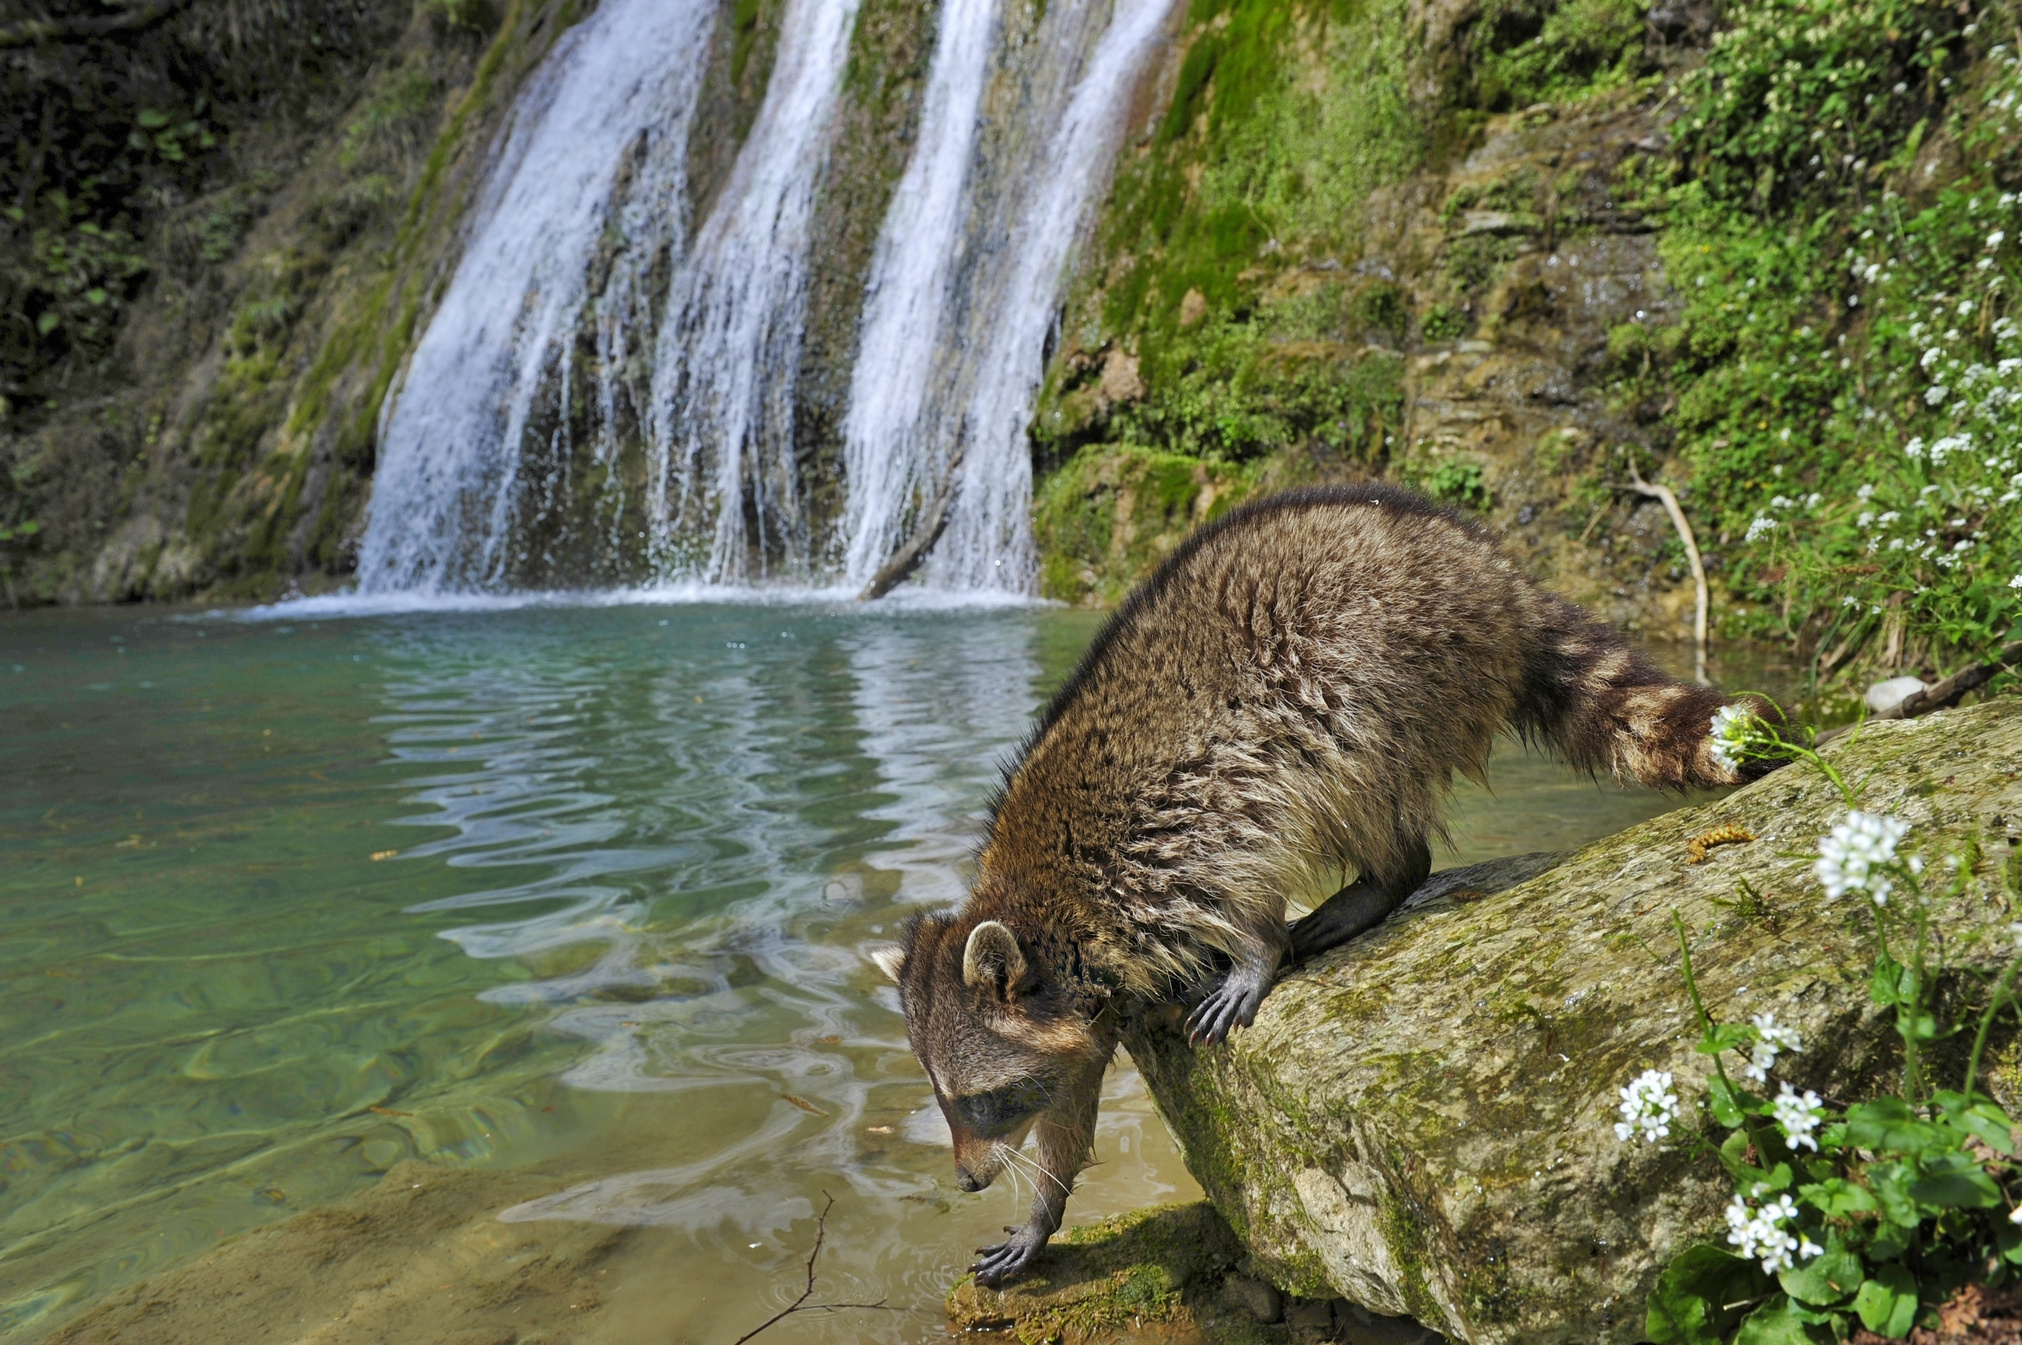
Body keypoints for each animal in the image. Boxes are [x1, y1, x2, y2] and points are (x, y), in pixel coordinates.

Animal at [865, 483, 1771, 1278]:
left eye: (981, 1101)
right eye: (947, 1102)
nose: (966, 1180)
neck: (1045, 915)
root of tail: (1478, 559)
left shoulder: (1180, 830)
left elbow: (1240, 867)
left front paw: (1254, 951)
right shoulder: (1092, 999)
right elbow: (1072, 1095)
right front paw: (1044, 1210)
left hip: (1384, 660)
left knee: (1347, 766)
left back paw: (1382, 878)